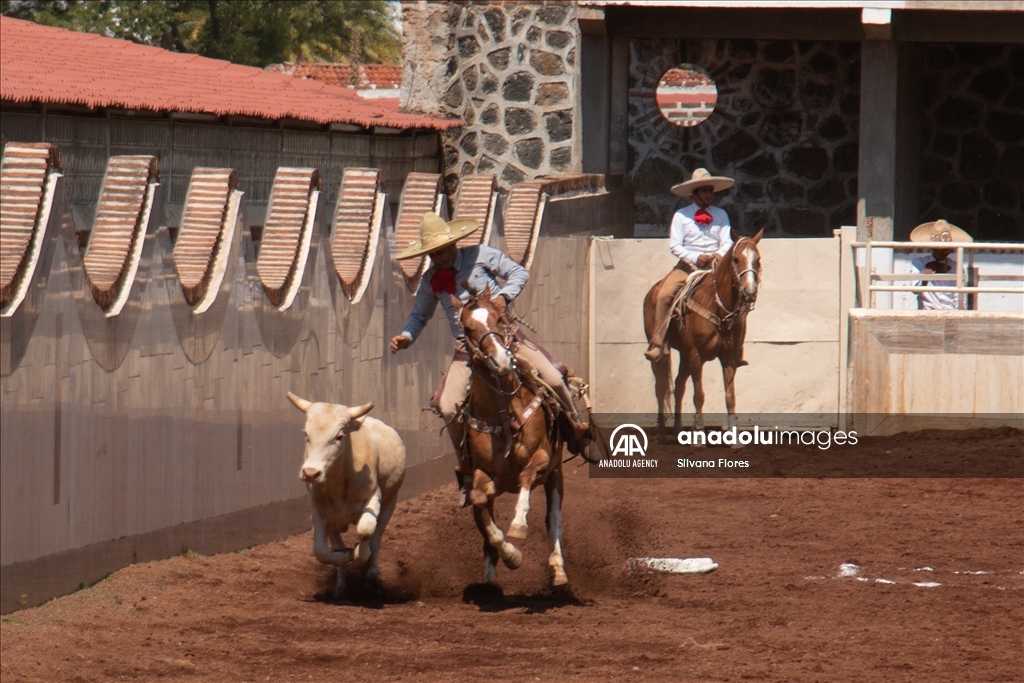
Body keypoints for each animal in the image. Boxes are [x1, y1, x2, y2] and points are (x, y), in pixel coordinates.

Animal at [286, 393, 405, 593]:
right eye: (306, 434)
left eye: (339, 436)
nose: (311, 473)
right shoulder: (320, 510)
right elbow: (321, 550)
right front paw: (346, 555)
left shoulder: (374, 498)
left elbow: (365, 531)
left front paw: (359, 552)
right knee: (336, 544)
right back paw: (341, 586)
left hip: (390, 503)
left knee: (377, 538)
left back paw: (372, 573)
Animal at [454, 282, 573, 589]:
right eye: (468, 329)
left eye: (499, 319)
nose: (501, 360)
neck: (504, 415)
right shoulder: (485, 477)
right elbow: (482, 508)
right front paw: (512, 555)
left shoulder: (542, 459)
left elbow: (526, 476)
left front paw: (518, 526)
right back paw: (489, 583)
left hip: (556, 474)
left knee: (554, 520)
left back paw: (558, 571)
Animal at [638, 229, 761, 440]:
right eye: (736, 259)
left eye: (758, 260)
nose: (749, 292)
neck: (717, 306)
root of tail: (651, 293)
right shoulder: (696, 355)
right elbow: (699, 395)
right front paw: (700, 434)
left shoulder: (728, 357)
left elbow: (730, 397)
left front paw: (734, 439)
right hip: (662, 352)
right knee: (661, 388)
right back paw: (661, 433)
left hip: (685, 353)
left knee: (679, 385)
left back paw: (679, 429)